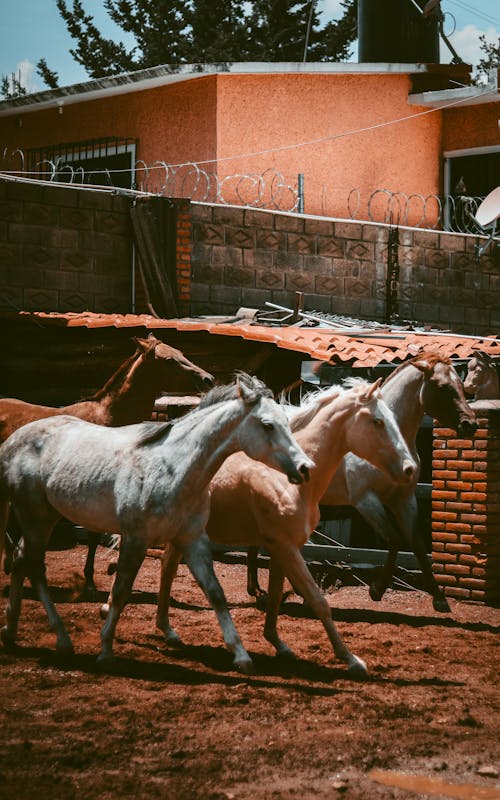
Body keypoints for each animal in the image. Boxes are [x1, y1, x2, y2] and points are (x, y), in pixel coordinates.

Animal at [0, 334, 213, 592]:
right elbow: (93, 534)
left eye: (181, 353)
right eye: (169, 360)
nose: (208, 379)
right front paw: (90, 581)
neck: (109, 418)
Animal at [0, 372, 312, 672]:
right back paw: (62, 640)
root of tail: (12, 441)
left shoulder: (193, 540)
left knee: (20, 559)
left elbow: (215, 593)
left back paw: (10, 631)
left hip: (44, 517)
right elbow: (121, 591)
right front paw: (106, 650)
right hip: (36, 518)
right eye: (268, 425)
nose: (305, 468)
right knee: (34, 567)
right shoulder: (135, 539)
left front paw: (241, 655)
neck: (172, 468)